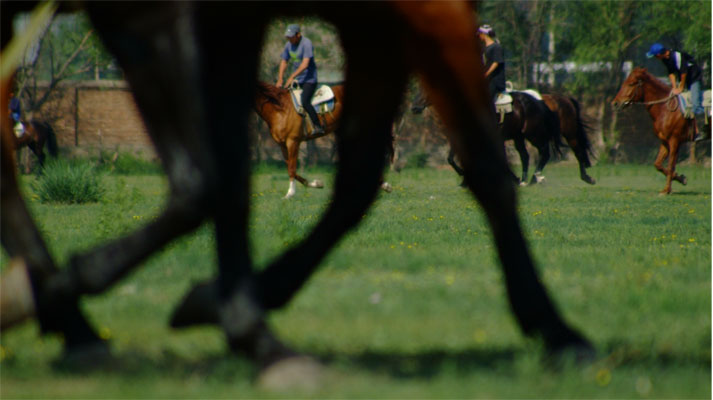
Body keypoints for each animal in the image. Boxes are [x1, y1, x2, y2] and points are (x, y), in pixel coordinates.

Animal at [608, 67, 692, 195]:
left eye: (631, 83)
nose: (615, 103)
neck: (665, 109)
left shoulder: (675, 141)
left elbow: (671, 165)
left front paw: (667, 190)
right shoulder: (665, 141)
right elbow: (658, 164)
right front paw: (680, 178)